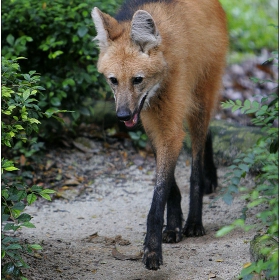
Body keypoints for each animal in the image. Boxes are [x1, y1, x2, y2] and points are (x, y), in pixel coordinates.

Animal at [92, 0, 228, 270]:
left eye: (137, 80)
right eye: (113, 80)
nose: (123, 115)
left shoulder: (169, 126)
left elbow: (160, 194)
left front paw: (153, 248)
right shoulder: (149, 120)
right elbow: (169, 185)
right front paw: (173, 225)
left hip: (200, 94)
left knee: (197, 152)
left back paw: (195, 220)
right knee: (207, 132)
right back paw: (209, 178)